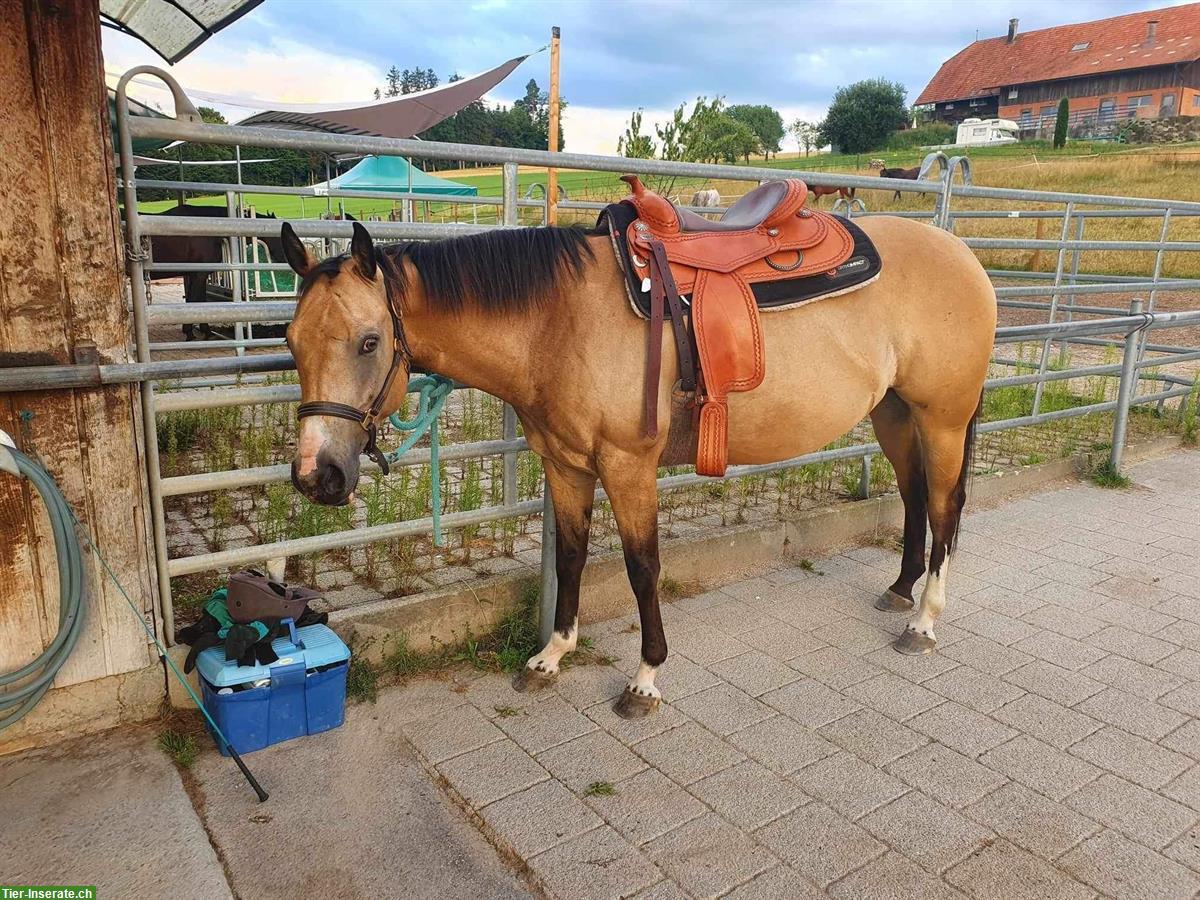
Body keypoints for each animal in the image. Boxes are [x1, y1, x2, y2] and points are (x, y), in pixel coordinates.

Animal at [145, 204, 283, 340]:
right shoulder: (200, 275)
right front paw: (195, 333)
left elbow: (194, 300)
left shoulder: (193, 275)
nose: (284, 259)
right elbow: (196, 301)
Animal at [280, 180, 993, 724]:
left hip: (942, 419)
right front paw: (552, 656)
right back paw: (900, 590)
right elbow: (570, 556)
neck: (557, 320)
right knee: (913, 496)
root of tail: (960, 252)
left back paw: (924, 621)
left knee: (945, 506)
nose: (317, 474)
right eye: (289, 340)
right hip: (893, 412)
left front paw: (646, 679)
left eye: (370, 341)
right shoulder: (565, 465)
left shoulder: (627, 467)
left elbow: (641, 566)